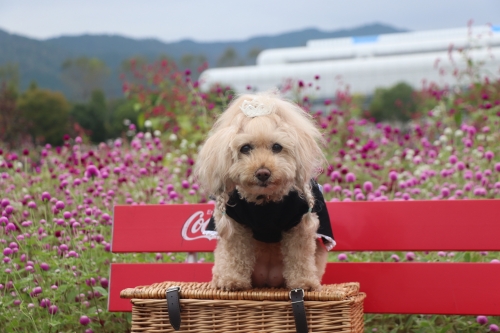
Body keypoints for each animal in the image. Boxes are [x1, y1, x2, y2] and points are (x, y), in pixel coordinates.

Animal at [195, 91, 336, 290]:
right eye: (245, 148)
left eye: (277, 147)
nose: (263, 173)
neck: (265, 201)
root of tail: (268, 279)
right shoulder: (236, 225)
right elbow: (235, 253)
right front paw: (233, 281)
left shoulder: (300, 226)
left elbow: (299, 256)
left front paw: (305, 283)